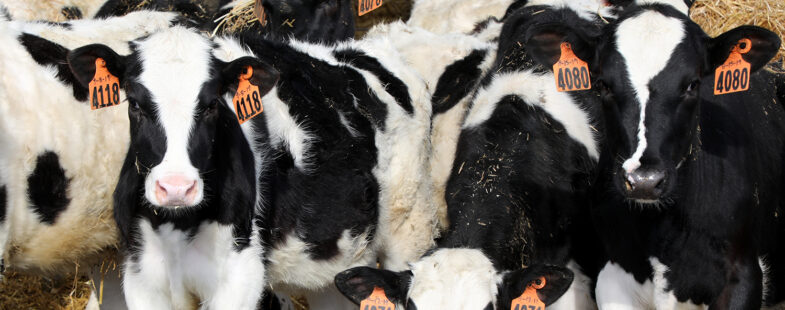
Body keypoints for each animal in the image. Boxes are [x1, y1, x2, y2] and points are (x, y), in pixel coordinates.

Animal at [67, 21, 434, 308]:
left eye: (212, 104)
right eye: (135, 103)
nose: (176, 188)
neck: (180, 224)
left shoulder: (239, 276)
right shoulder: (142, 275)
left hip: (410, 228)